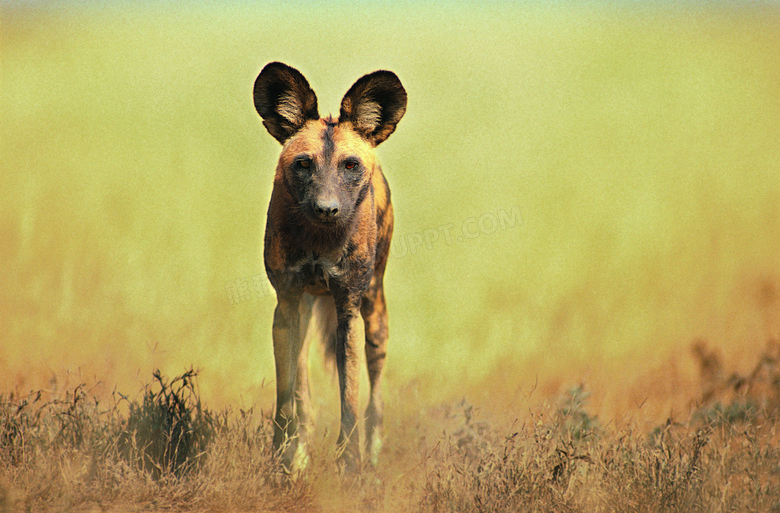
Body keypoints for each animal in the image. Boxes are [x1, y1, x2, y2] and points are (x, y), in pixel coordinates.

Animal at [253, 62, 408, 470]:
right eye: (304, 164)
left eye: (350, 165)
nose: (326, 208)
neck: (319, 239)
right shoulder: (287, 305)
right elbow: (287, 397)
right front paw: (284, 460)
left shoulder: (347, 310)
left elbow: (350, 401)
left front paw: (350, 465)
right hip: (304, 312)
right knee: (302, 389)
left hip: (374, 315)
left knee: (374, 398)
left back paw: (372, 458)